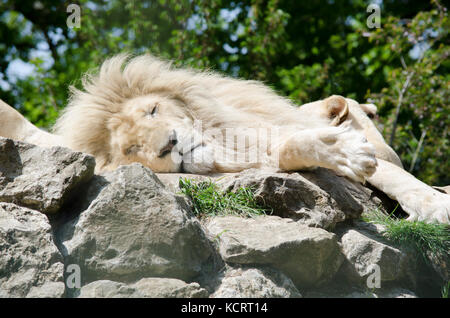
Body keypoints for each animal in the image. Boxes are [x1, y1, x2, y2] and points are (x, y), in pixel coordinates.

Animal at [0, 53, 448, 224]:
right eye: (132, 149)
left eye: (153, 111)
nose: (170, 144)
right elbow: (294, 149)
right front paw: (339, 151)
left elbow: (393, 173)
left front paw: (434, 205)